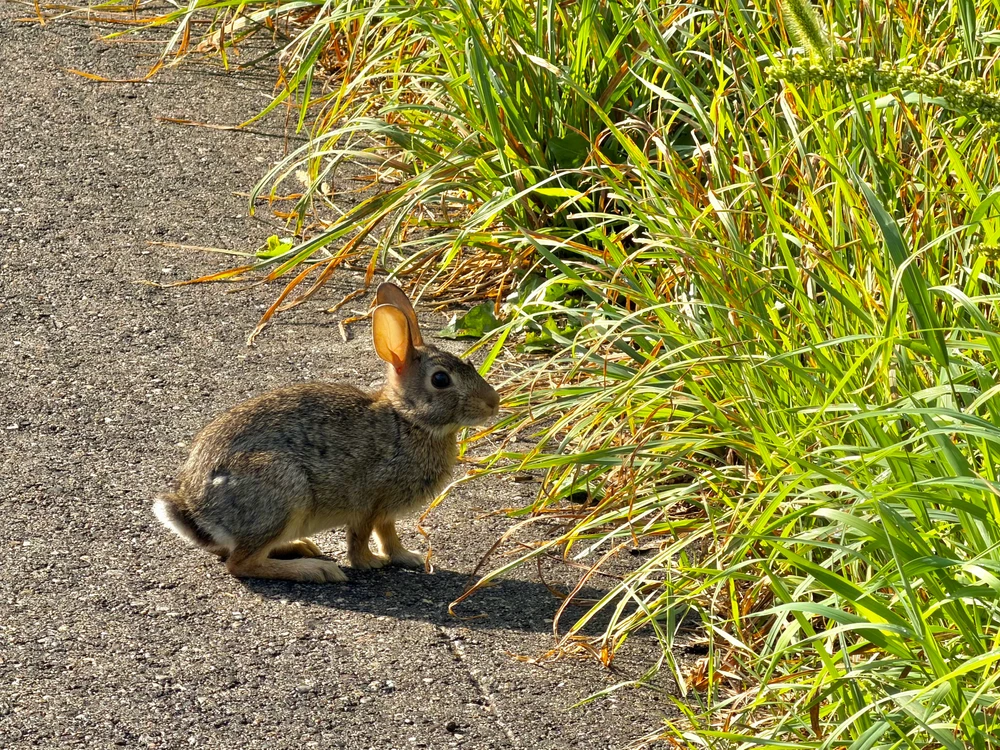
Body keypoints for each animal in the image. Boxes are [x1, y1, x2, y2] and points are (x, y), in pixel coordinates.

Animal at [153, 282, 500, 583]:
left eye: (469, 364)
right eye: (441, 380)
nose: (493, 403)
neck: (407, 420)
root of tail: (197, 511)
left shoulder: (385, 511)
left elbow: (388, 534)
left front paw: (407, 557)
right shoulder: (367, 502)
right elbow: (362, 537)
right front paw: (370, 563)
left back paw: (301, 548)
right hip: (282, 492)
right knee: (240, 564)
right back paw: (315, 569)